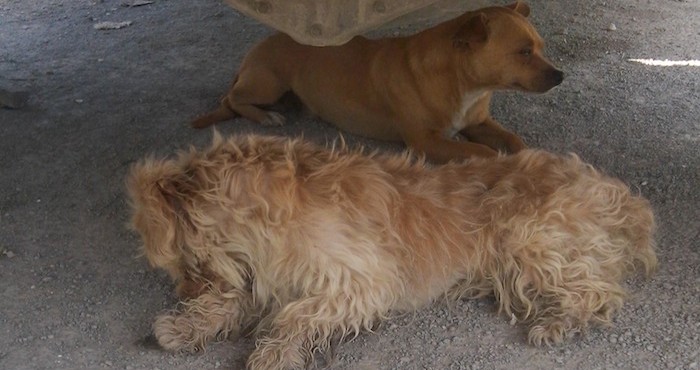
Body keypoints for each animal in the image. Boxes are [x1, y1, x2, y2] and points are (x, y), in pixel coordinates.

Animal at [126, 134, 656, 370]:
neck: (275, 216)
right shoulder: (262, 277)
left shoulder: (360, 283)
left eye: (188, 261)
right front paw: (184, 325)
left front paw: (275, 353)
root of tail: (620, 196)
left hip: (531, 239)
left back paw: (559, 320)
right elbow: (231, 301)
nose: (184, 291)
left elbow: (296, 315)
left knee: (600, 292)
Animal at [191, 2, 564, 162]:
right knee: (232, 100)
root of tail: (251, 55)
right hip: (267, 82)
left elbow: (513, 140)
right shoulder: (428, 142)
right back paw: (266, 115)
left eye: (541, 47)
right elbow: (482, 152)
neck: (466, 86)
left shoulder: (479, 121)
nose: (561, 76)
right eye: (523, 52)